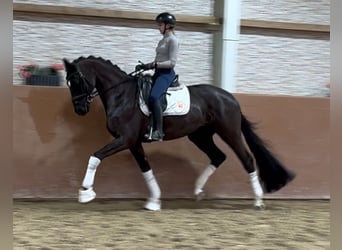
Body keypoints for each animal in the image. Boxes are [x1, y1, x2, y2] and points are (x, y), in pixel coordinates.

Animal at [62, 55, 296, 211]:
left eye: (78, 80)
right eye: (68, 82)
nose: (80, 109)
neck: (122, 95)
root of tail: (230, 97)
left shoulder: (125, 139)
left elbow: (95, 157)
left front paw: (86, 192)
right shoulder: (134, 142)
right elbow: (145, 168)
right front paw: (154, 201)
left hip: (229, 132)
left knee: (246, 159)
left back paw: (258, 200)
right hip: (200, 136)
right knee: (218, 156)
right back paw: (198, 191)